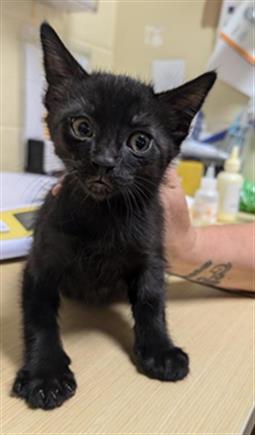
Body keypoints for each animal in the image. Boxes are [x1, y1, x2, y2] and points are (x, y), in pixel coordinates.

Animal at [11, 23, 215, 412]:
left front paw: (160, 350)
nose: (104, 161)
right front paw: (46, 374)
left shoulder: (152, 253)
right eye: (82, 127)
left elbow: (152, 301)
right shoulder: (41, 262)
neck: (104, 216)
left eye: (140, 141)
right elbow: (39, 317)